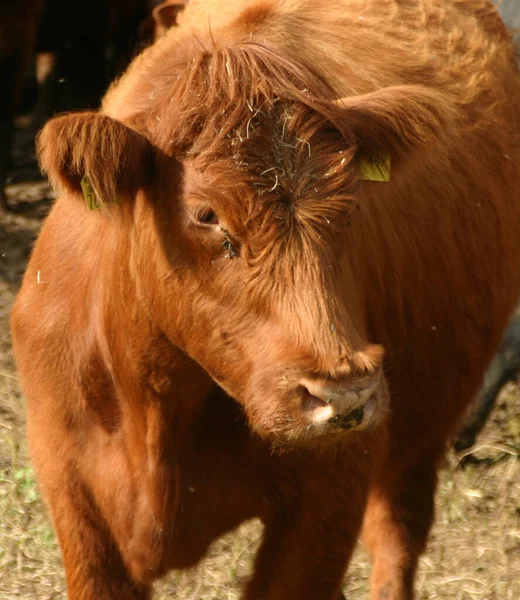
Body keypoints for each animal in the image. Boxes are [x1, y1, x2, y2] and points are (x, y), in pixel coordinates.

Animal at [10, 1, 520, 600]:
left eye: (352, 207)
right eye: (206, 215)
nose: (345, 393)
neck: (156, 407)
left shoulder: (329, 495)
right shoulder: (75, 497)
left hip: (420, 432)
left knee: (397, 533)